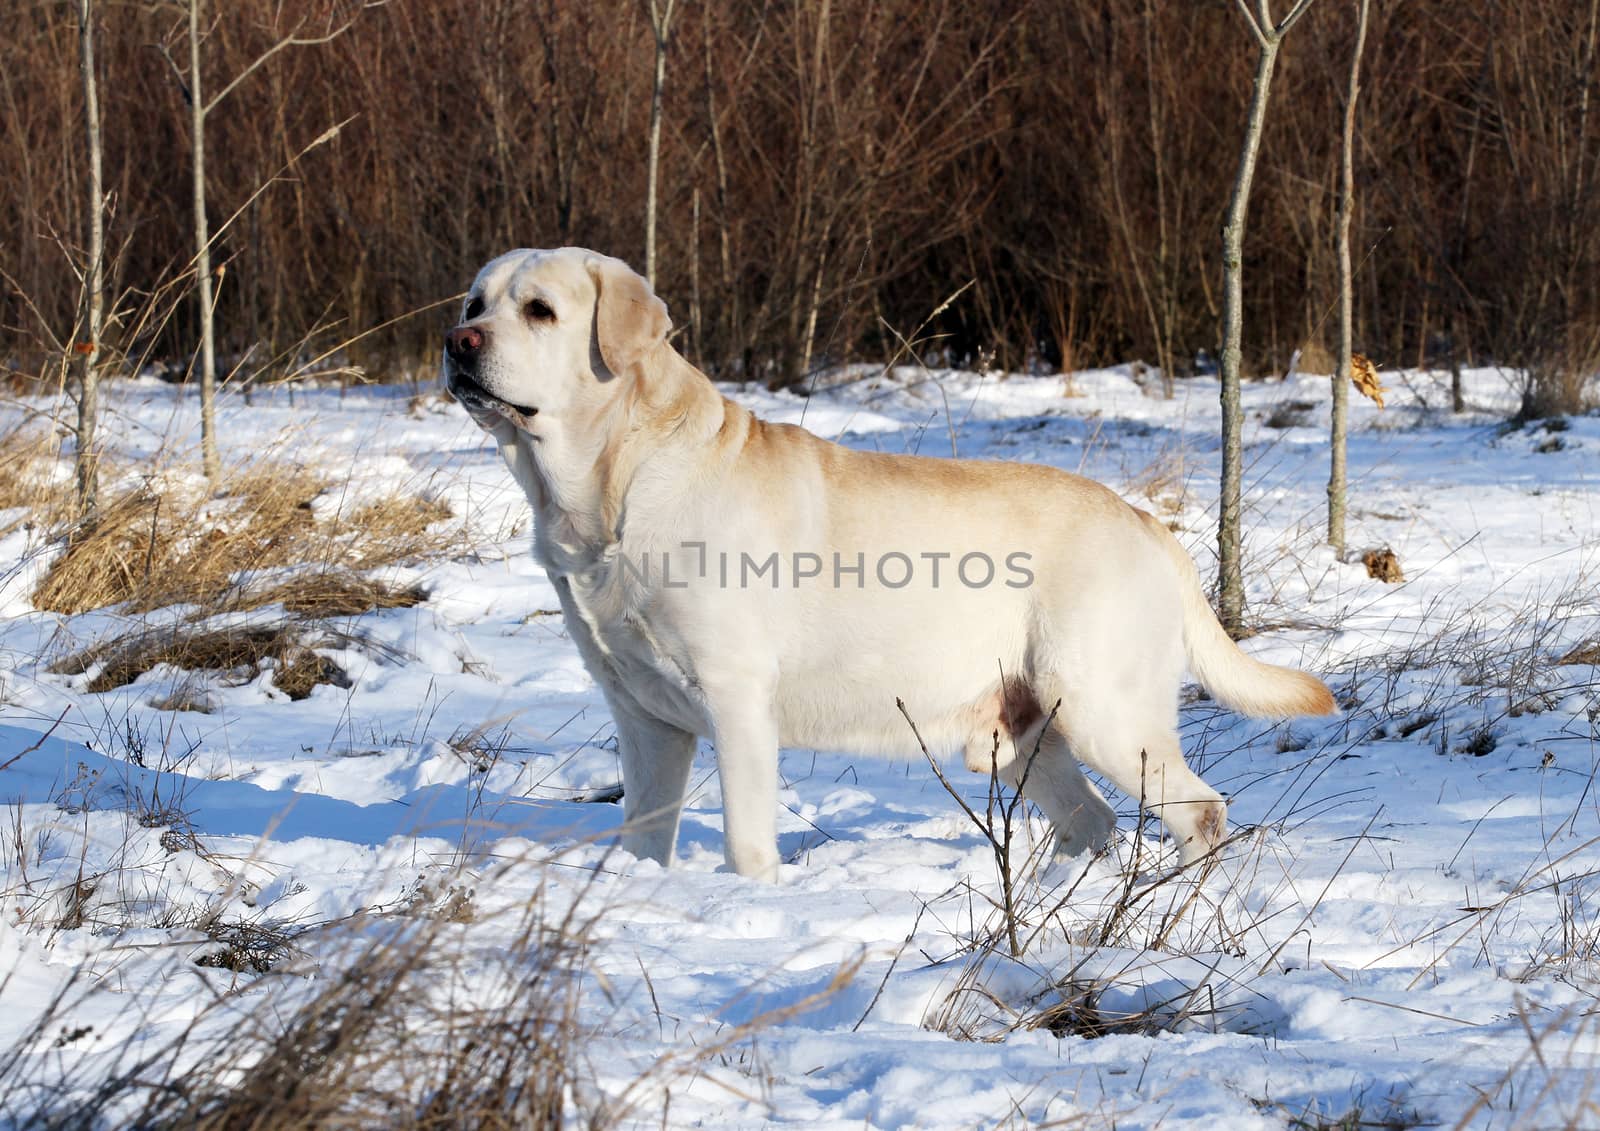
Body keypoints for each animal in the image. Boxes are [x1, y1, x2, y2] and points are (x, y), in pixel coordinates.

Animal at [444, 249, 1331, 883]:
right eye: (473, 302)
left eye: (540, 310)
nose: (458, 344)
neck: (611, 483)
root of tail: (1148, 524)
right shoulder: (643, 715)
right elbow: (641, 838)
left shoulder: (736, 699)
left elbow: (745, 844)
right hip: (1026, 733)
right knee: (1093, 820)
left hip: (1106, 711)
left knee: (1199, 809)